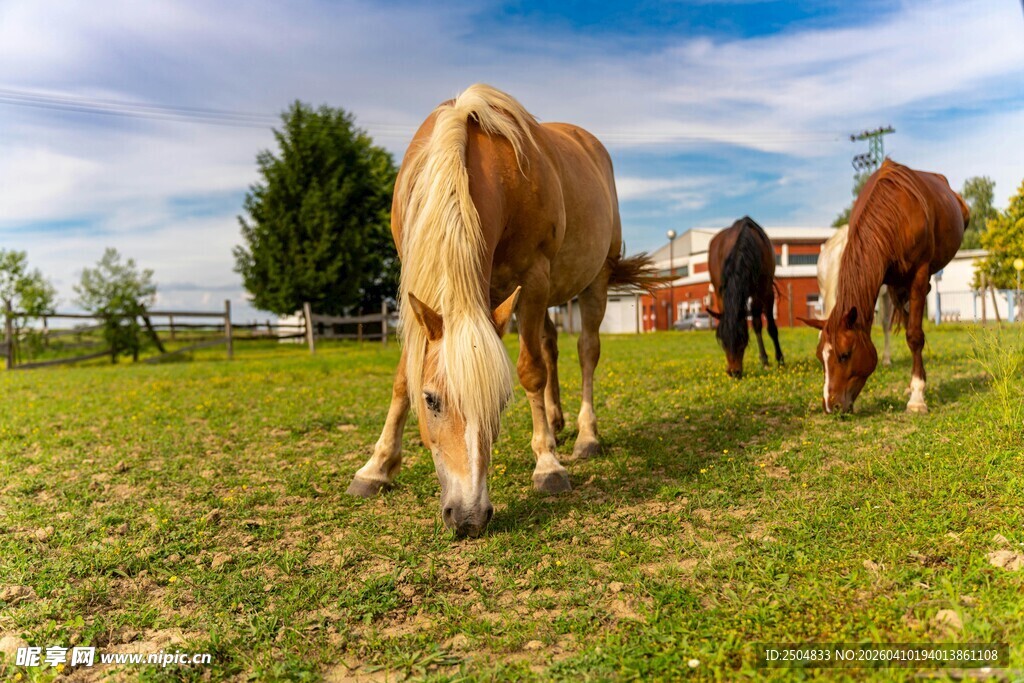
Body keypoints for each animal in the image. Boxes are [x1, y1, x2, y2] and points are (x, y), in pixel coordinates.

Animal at [346, 84, 660, 538]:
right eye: (432, 400)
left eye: (499, 404)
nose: (469, 517)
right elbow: (403, 378)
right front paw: (376, 468)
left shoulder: (533, 277)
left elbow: (531, 371)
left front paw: (547, 466)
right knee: (550, 344)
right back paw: (557, 421)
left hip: (591, 283)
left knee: (585, 352)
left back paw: (585, 437)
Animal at [706, 216, 784, 378]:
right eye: (722, 341)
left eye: (742, 339)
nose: (733, 372)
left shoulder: (765, 292)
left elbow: (769, 327)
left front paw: (779, 361)